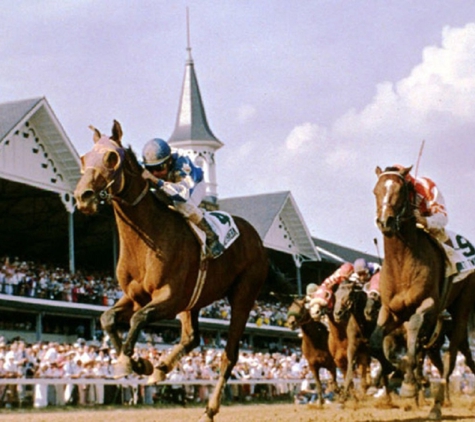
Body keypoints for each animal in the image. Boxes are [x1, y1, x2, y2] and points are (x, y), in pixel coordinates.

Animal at [73, 120, 276, 420]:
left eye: (111, 158)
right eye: (85, 158)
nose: (82, 197)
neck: (147, 237)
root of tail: (258, 241)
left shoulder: (170, 298)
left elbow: (138, 319)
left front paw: (130, 362)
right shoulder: (136, 297)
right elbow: (107, 318)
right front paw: (139, 364)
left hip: (243, 294)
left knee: (229, 354)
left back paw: (209, 409)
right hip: (195, 301)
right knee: (192, 337)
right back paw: (160, 369)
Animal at [372, 165, 475, 418]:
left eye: (401, 190)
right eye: (376, 191)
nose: (385, 221)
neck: (402, 264)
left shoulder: (427, 305)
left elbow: (414, 332)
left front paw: (409, 384)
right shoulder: (390, 311)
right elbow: (376, 342)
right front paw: (392, 372)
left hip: (462, 308)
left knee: (450, 358)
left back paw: (437, 406)